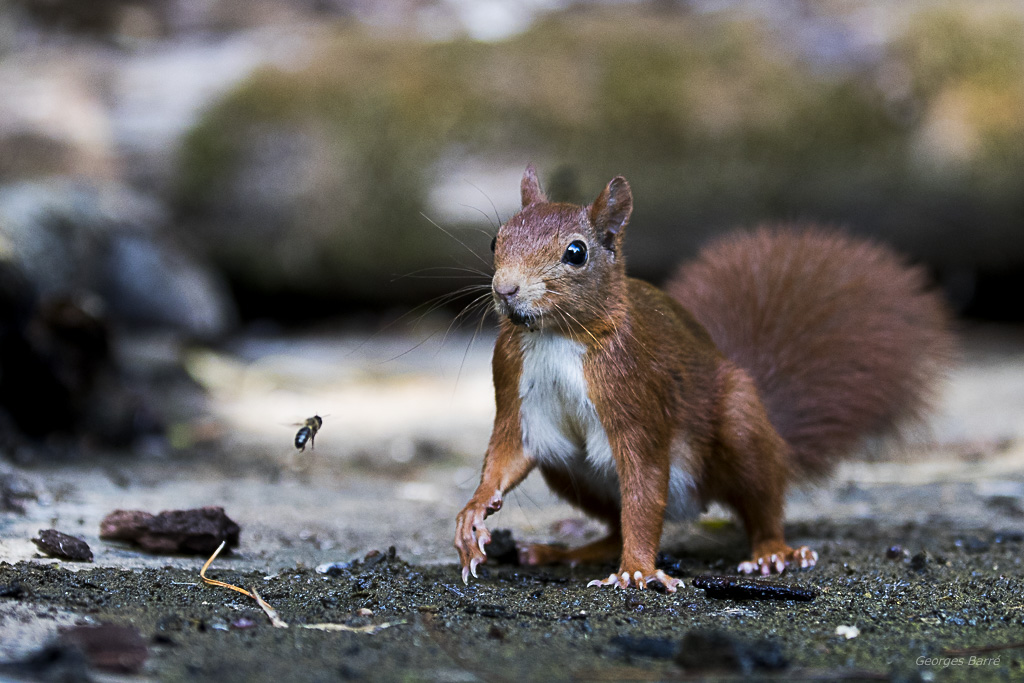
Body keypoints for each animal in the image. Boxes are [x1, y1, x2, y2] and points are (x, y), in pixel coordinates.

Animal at [456, 165, 950, 593]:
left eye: (575, 253)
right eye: (496, 240)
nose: (505, 289)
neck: (557, 336)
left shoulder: (636, 396)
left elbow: (644, 486)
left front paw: (637, 571)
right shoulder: (514, 389)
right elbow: (506, 455)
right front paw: (474, 513)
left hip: (739, 422)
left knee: (761, 502)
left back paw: (774, 552)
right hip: (568, 470)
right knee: (614, 525)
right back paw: (563, 553)